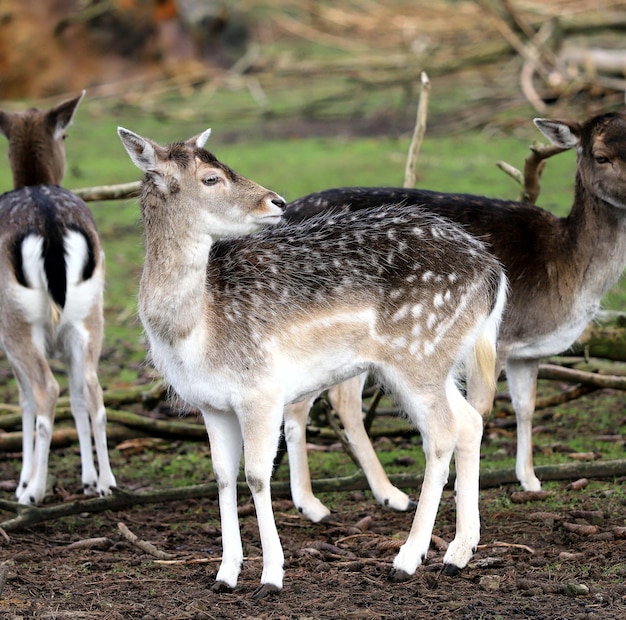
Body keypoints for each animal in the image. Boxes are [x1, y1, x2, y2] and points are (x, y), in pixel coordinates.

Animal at [0, 94, 116, 506]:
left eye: (64, 134)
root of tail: (49, 224)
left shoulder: (6, 343)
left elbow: (24, 401)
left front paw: (22, 482)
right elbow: (78, 400)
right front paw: (88, 479)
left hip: (19, 323)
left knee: (46, 391)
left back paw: (33, 492)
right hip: (89, 317)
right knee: (93, 391)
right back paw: (107, 483)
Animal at [118, 126, 508, 596]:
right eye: (211, 178)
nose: (276, 201)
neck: (195, 333)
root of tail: (494, 272)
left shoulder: (261, 390)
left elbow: (257, 475)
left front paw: (271, 576)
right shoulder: (210, 403)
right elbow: (223, 476)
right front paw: (225, 574)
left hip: (417, 356)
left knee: (442, 434)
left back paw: (407, 558)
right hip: (438, 362)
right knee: (470, 422)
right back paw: (459, 553)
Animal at [280, 111, 624, 524]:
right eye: (602, 156)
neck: (568, 271)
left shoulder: (527, 351)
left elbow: (525, 406)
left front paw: (530, 480)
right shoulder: (498, 341)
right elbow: (482, 411)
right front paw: (462, 492)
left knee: (338, 398)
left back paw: (382, 494)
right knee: (307, 401)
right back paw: (320, 502)